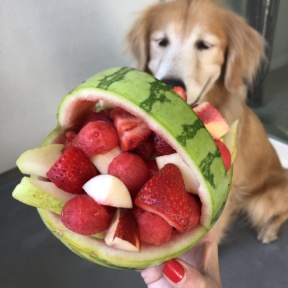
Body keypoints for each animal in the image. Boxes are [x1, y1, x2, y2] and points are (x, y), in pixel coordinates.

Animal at [126, 0, 288, 243]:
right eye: (161, 42)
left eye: (204, 45)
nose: (170, 84)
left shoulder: (225, 191)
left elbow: (211, 233)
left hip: (264, 200)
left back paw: (269, 230)